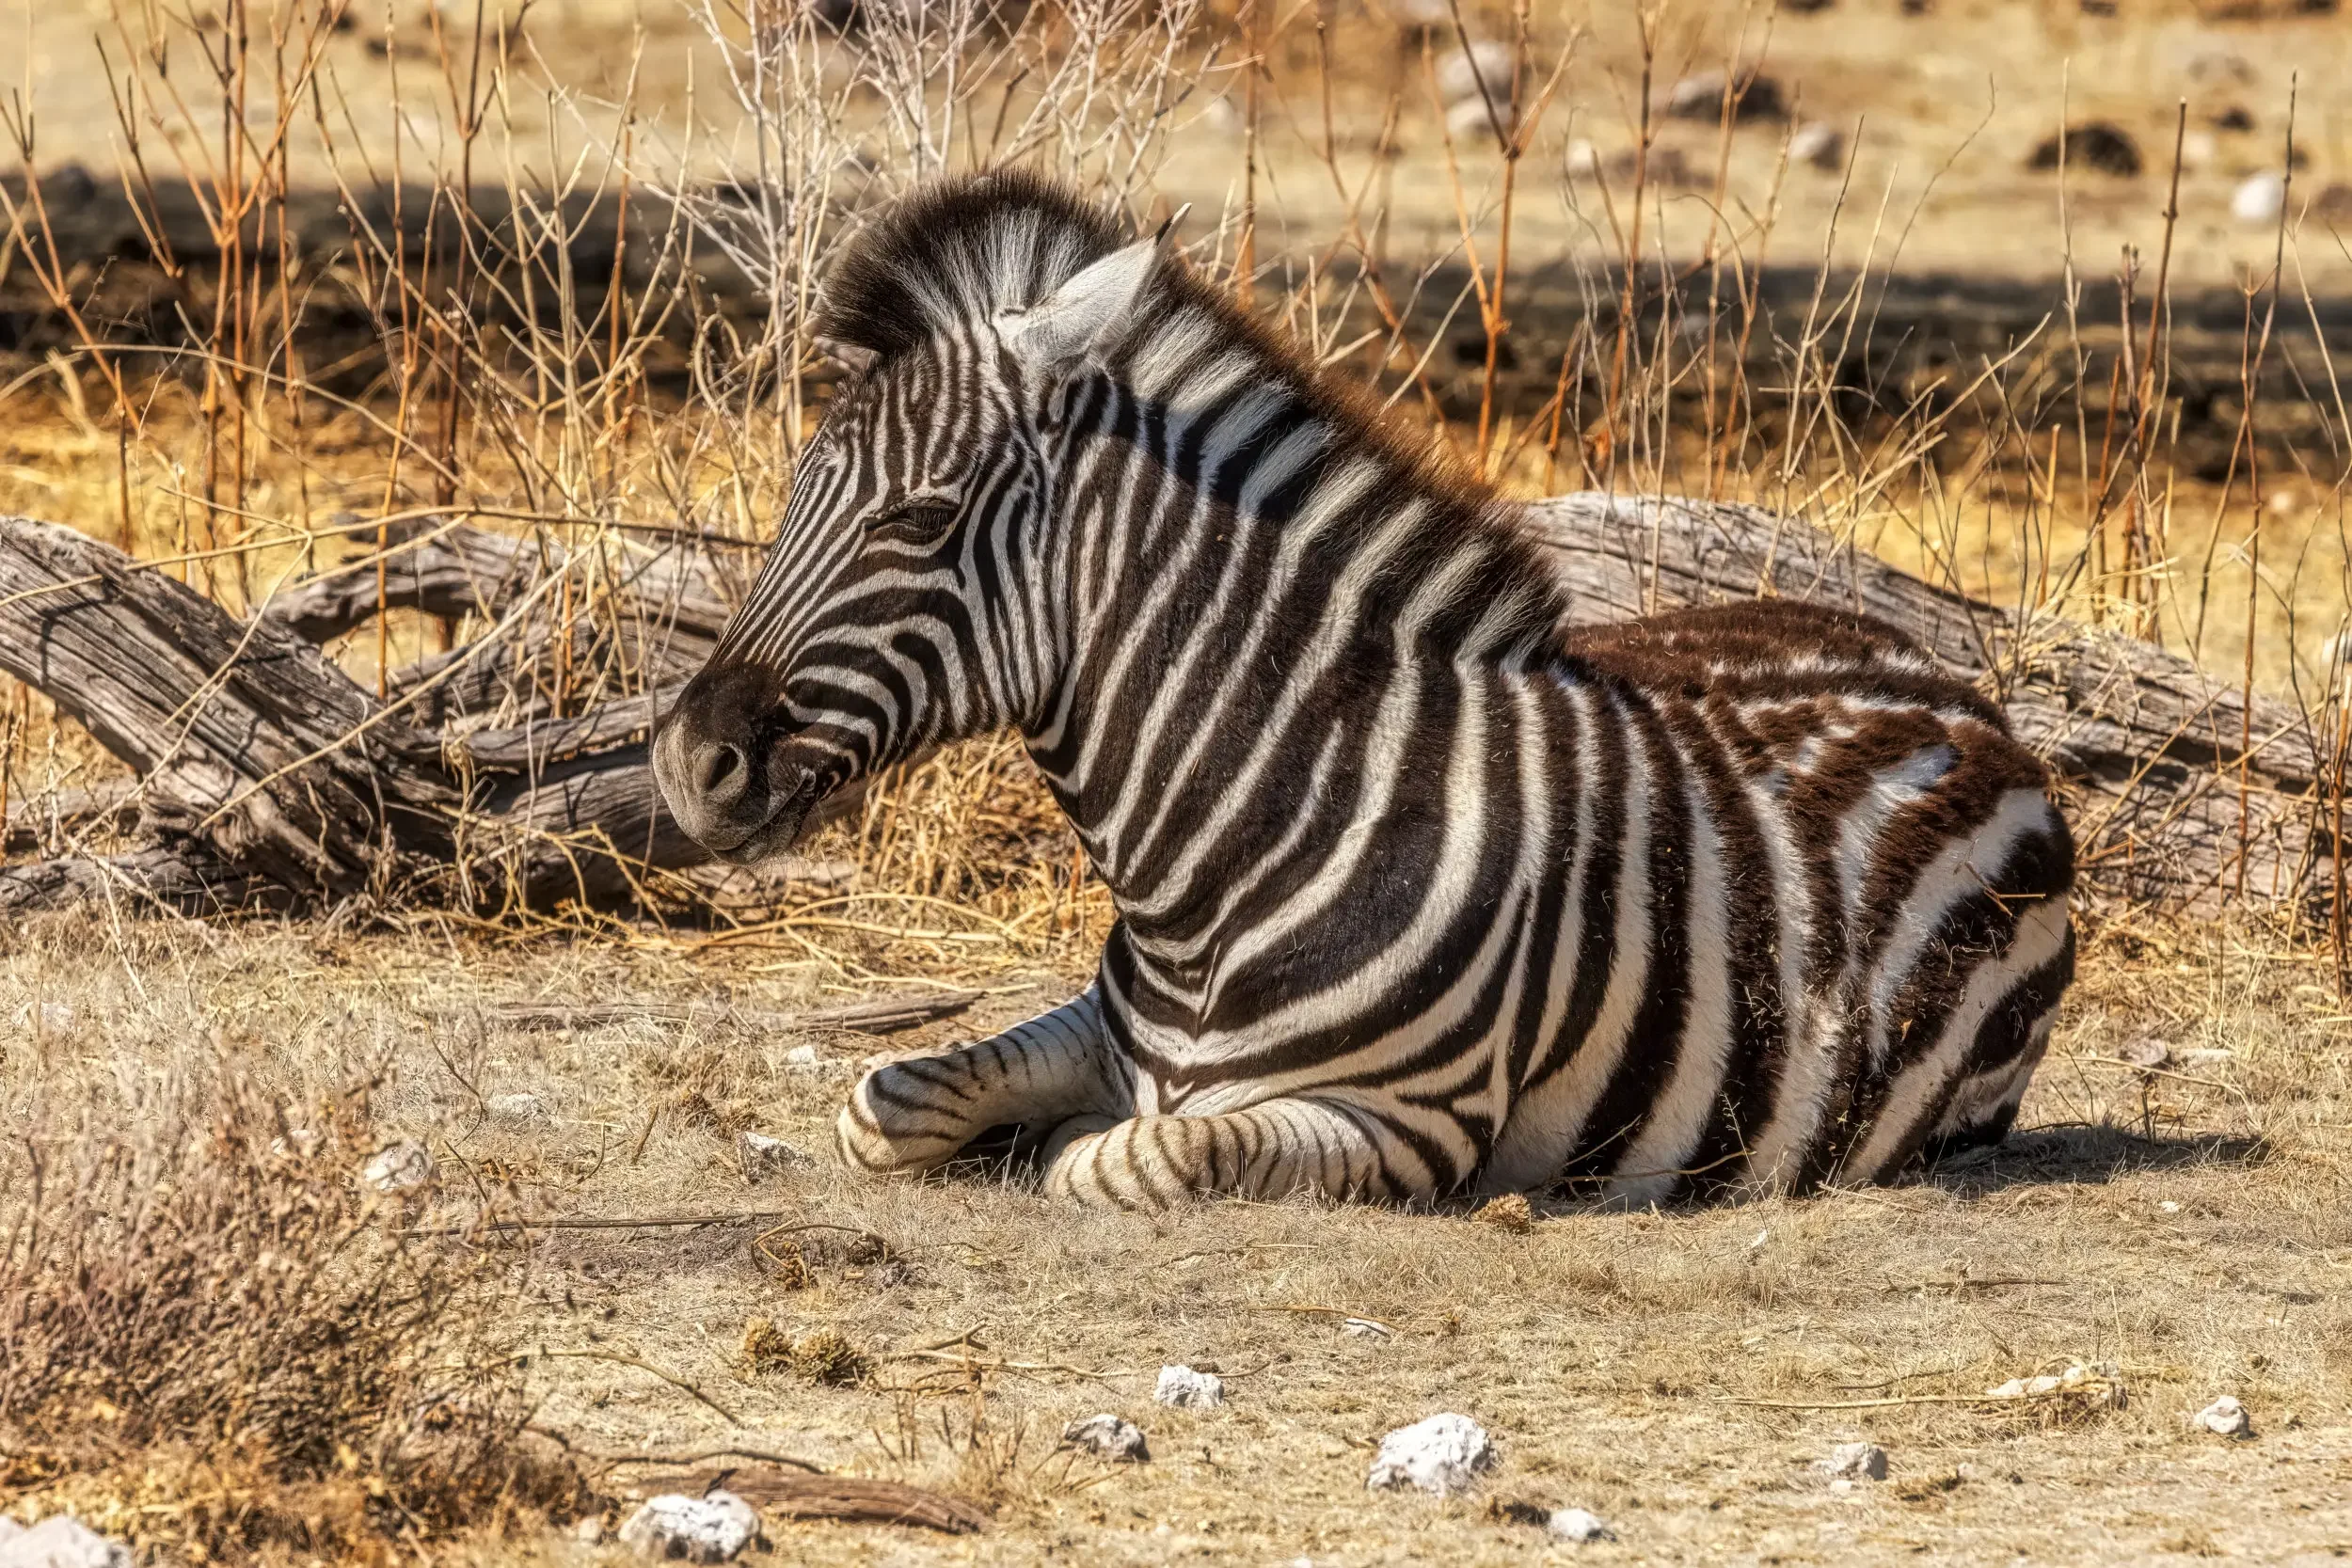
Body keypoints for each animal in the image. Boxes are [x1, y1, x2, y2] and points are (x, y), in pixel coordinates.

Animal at [652, 170, 2075, 1210]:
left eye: (922, 518)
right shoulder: (1104, 1027)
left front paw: (1048, 1145)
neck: (1227, 854)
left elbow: (1128, 1153)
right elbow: (881, 1100)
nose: (684, 762)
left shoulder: (1403, 1123)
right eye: (796, 490)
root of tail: (1958, 689)